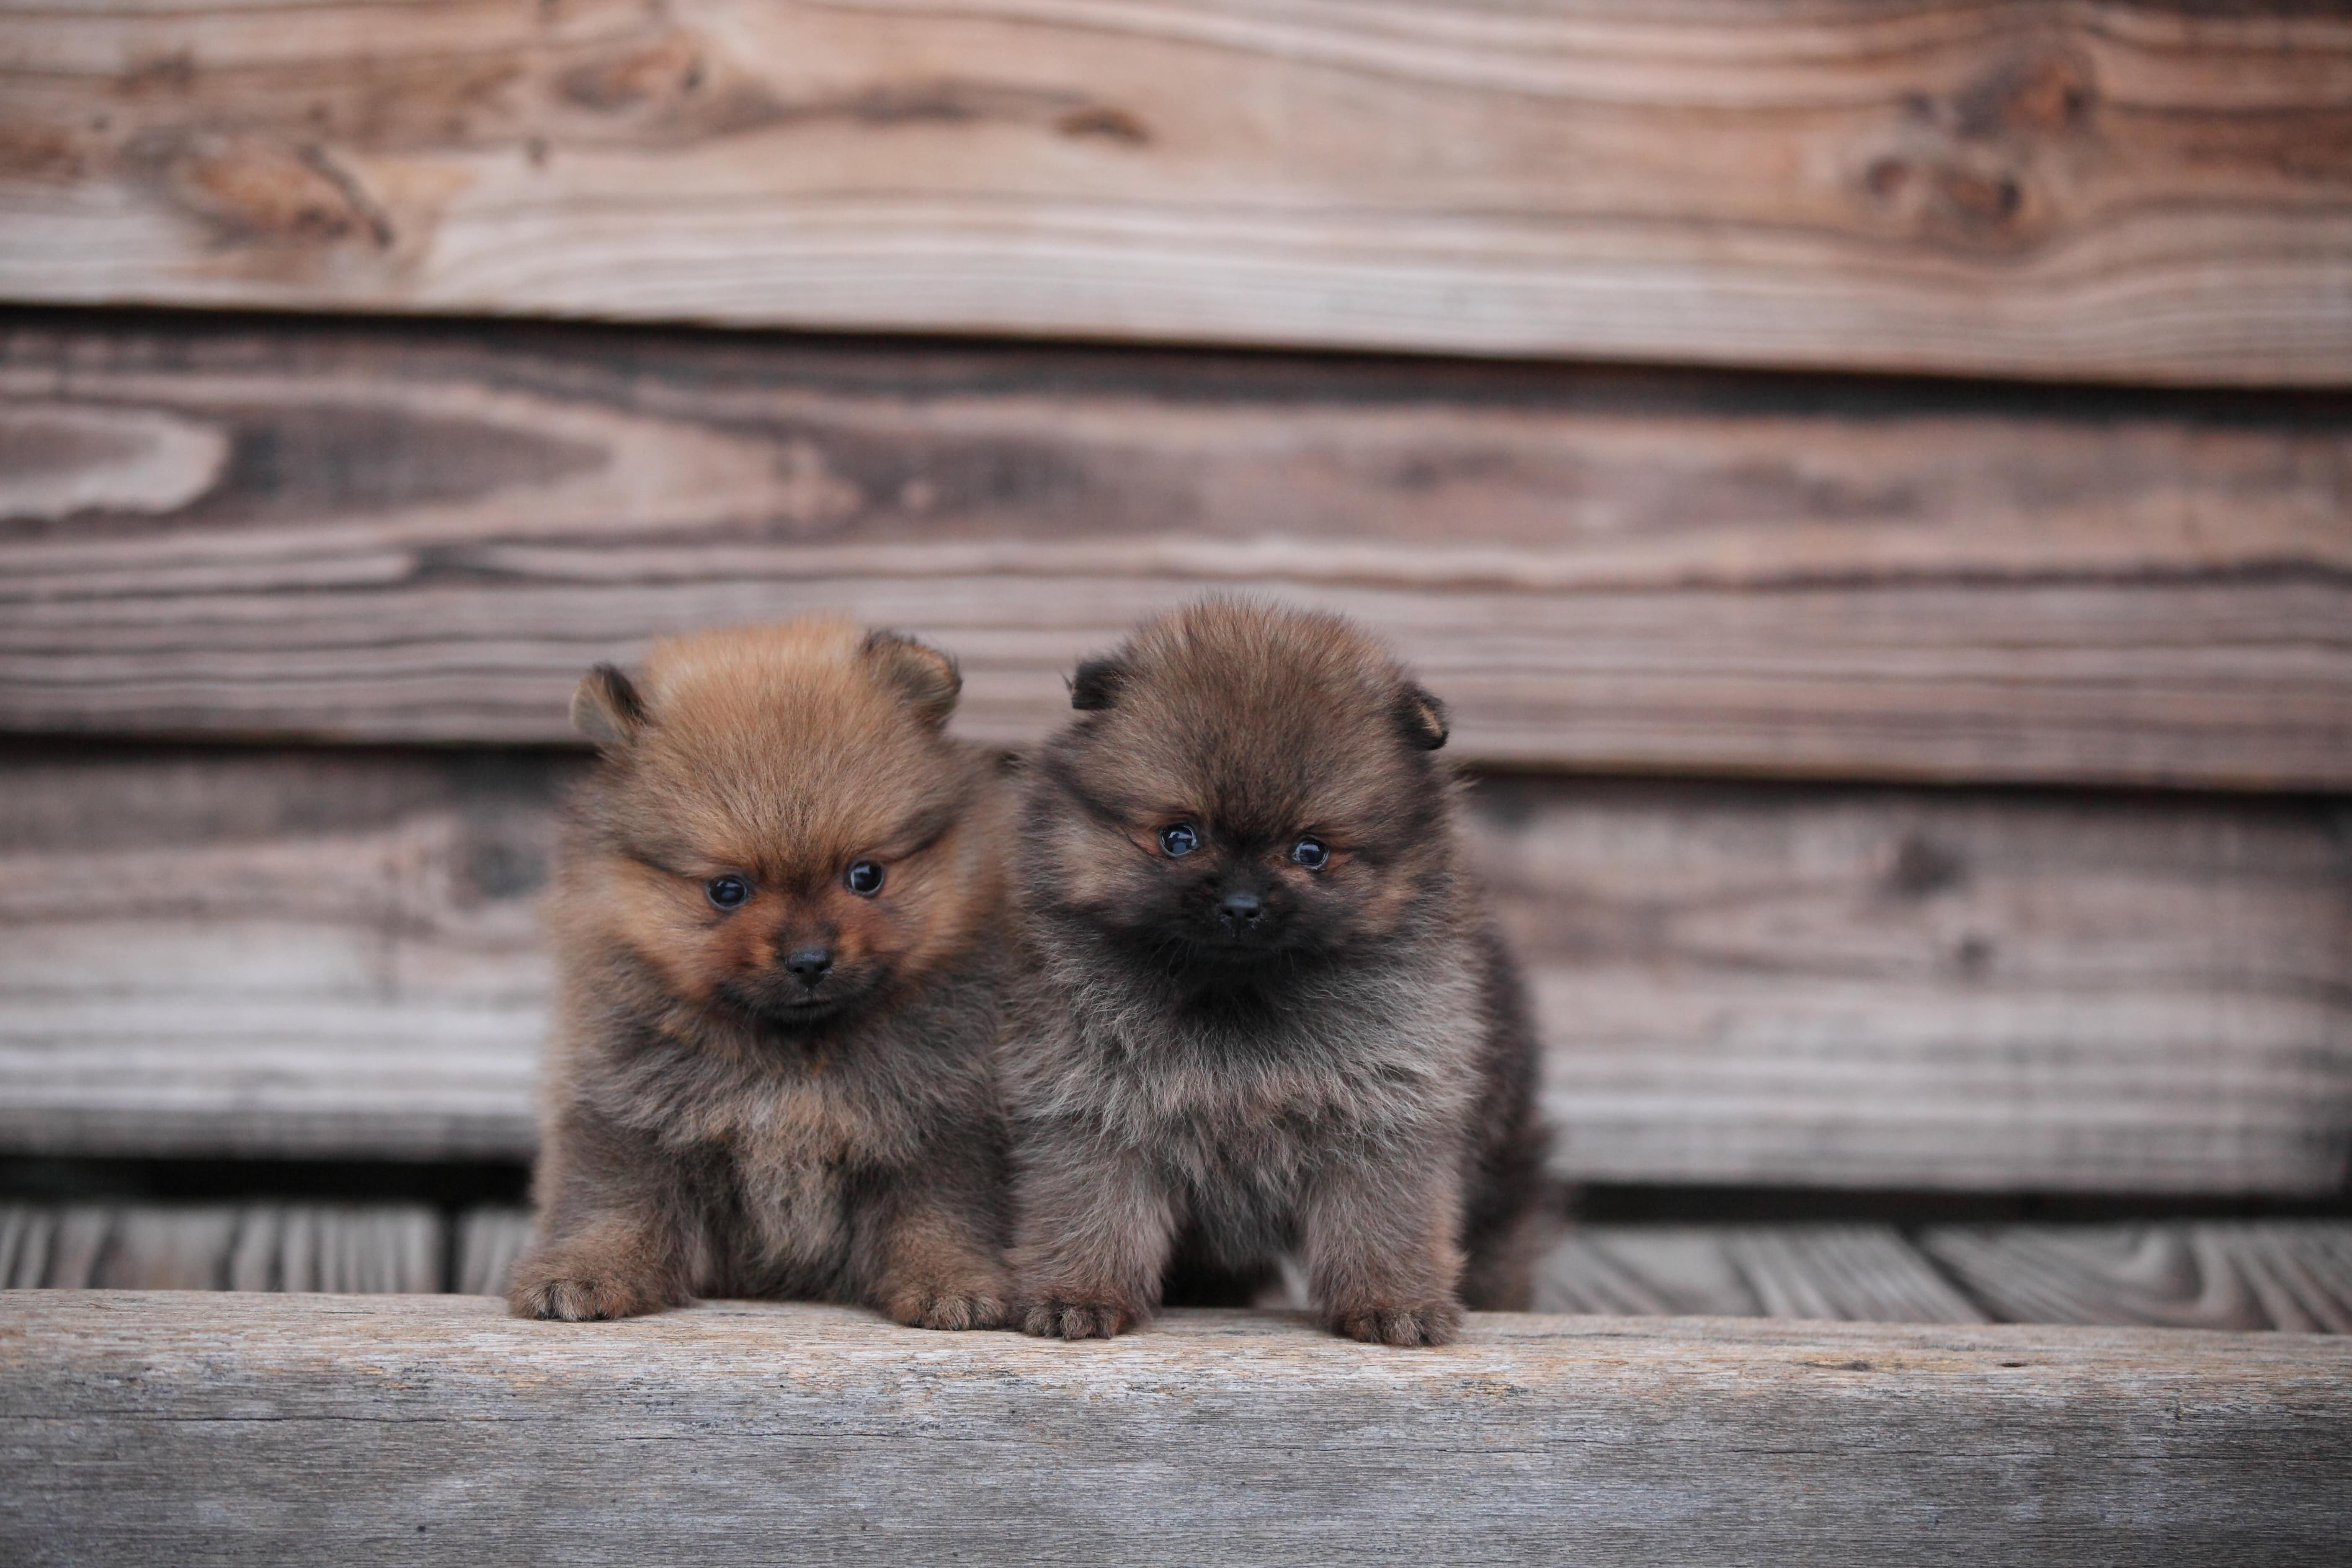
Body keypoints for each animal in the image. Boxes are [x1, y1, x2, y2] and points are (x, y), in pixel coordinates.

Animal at [515, 620, 1011, 1335]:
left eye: (866, 876)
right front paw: (583, 1274)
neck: (791, 1060)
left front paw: (952, 1283)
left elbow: (939, 1214)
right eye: (728, 890)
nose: (809, 959)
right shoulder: (628, 1110)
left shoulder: (941, 1121)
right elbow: (614, 1203)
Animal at [1002, 601, 1552, 1354]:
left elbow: (1386, 1216)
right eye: (1180, 837)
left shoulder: (1386, 1109)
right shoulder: (1094, 1105)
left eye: (1310, 851)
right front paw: (1076, 1294)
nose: (1242, 905)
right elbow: (1093, 1207)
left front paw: (1394, 1303)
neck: (1238, 999)